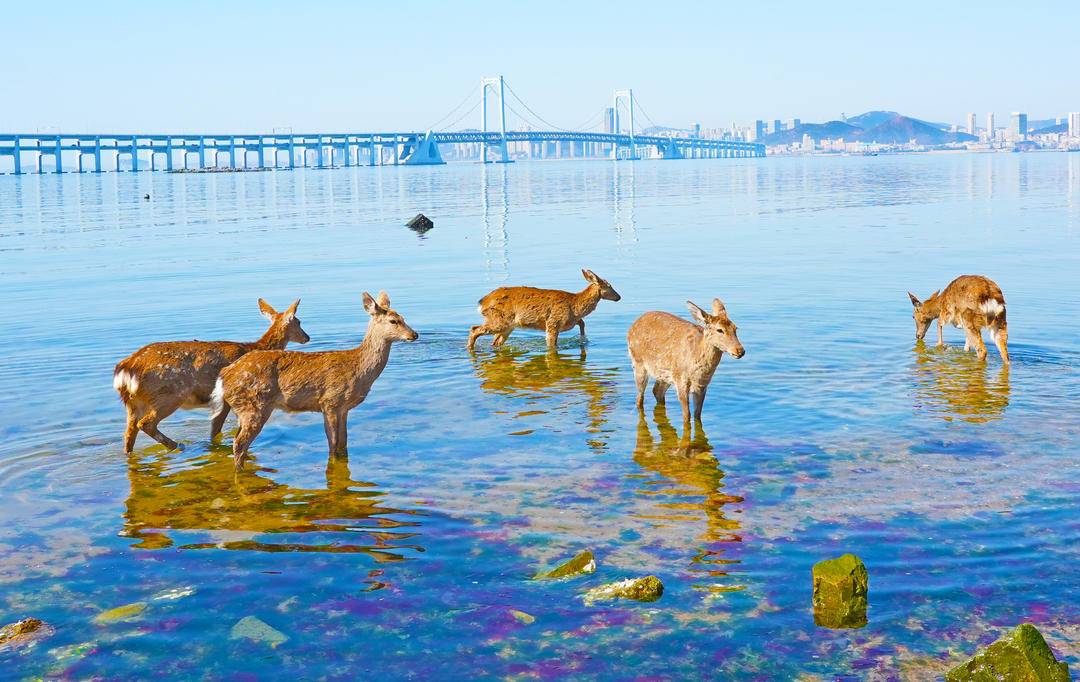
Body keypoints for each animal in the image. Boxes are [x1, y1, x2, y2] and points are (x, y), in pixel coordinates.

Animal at [113, 298, 308, 453]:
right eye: (299, 322)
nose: (307, 337)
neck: (254, 348)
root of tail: (126, 368)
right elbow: (216, 430)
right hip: (169, 393)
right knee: (145, 424)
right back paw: (178, 446)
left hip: (133, 403)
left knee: (129, 434)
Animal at [212, 291, 418, 469]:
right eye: (394, 320)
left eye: (404, 317)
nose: (414, 335)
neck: (359, 370)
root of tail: (225, 374)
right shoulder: (330, 401)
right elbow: (333, 445)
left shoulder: (344, 408)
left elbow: (343, 444)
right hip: (254, 405)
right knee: (239, 444)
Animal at [467, 269, 621, 351]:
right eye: (609, 286)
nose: (619, 297)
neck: (575, 305)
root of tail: (482, 302)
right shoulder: (553, 321)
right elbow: (552, 345)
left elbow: (582, 322)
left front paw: (583, 339)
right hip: (499, 319)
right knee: (474, 329)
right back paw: (470, 348)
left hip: (507, 326)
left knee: (495, 342)